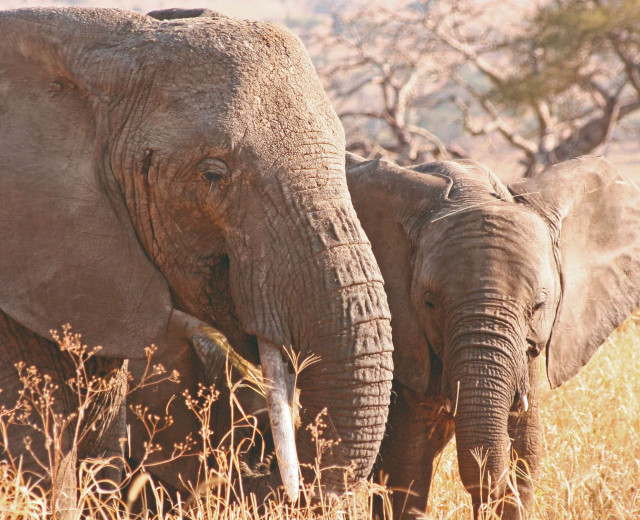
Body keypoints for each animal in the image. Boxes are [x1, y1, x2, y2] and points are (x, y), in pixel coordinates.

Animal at [344, 152, 640, 516]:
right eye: (429, 303)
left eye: (538, 305)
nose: (487, 497)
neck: (470, 188)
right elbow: (405, 465)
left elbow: (527, 452)